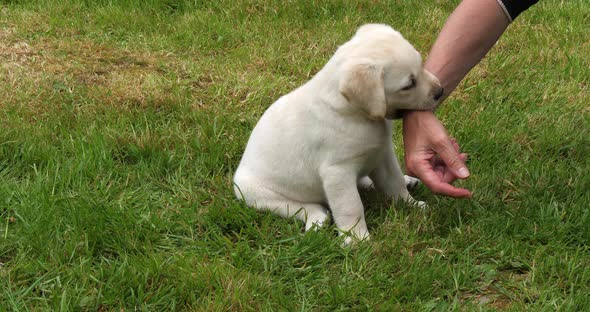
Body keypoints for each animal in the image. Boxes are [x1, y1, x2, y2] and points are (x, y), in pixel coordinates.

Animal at [235, 24, 444, 244]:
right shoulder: (337, 171)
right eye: (408, 85)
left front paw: (411, 204)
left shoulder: (383, 154)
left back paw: (406, 180)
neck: (354, 114)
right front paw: (357, 239)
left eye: (421, 66)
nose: (440, 91)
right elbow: (351, 206)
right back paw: (317, 221)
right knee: (307, 209)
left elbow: (394, 182)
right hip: (261, 196)